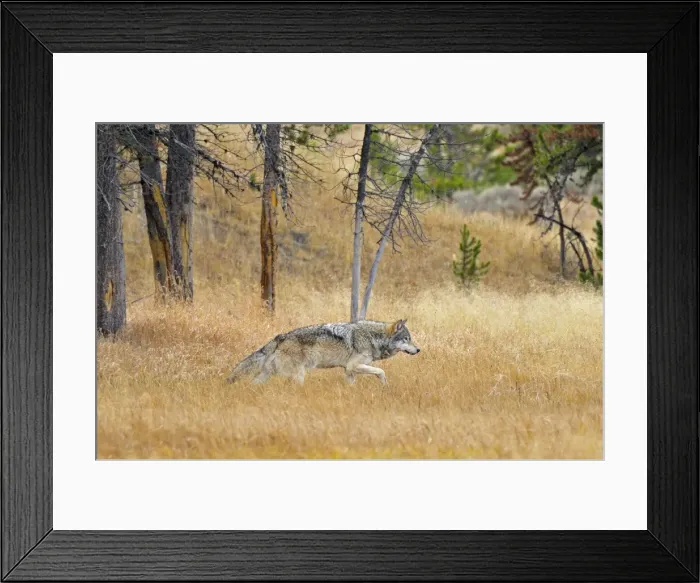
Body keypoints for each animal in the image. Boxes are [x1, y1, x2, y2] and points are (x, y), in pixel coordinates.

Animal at [226, 319, 420, 385]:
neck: (373, 337)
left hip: (267, 374)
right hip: (298, 375)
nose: (419, 349)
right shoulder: (353, 366)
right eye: (407, 339)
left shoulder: (349, 371)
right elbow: (381, 371)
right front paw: (385, 385)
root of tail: (280, 337)